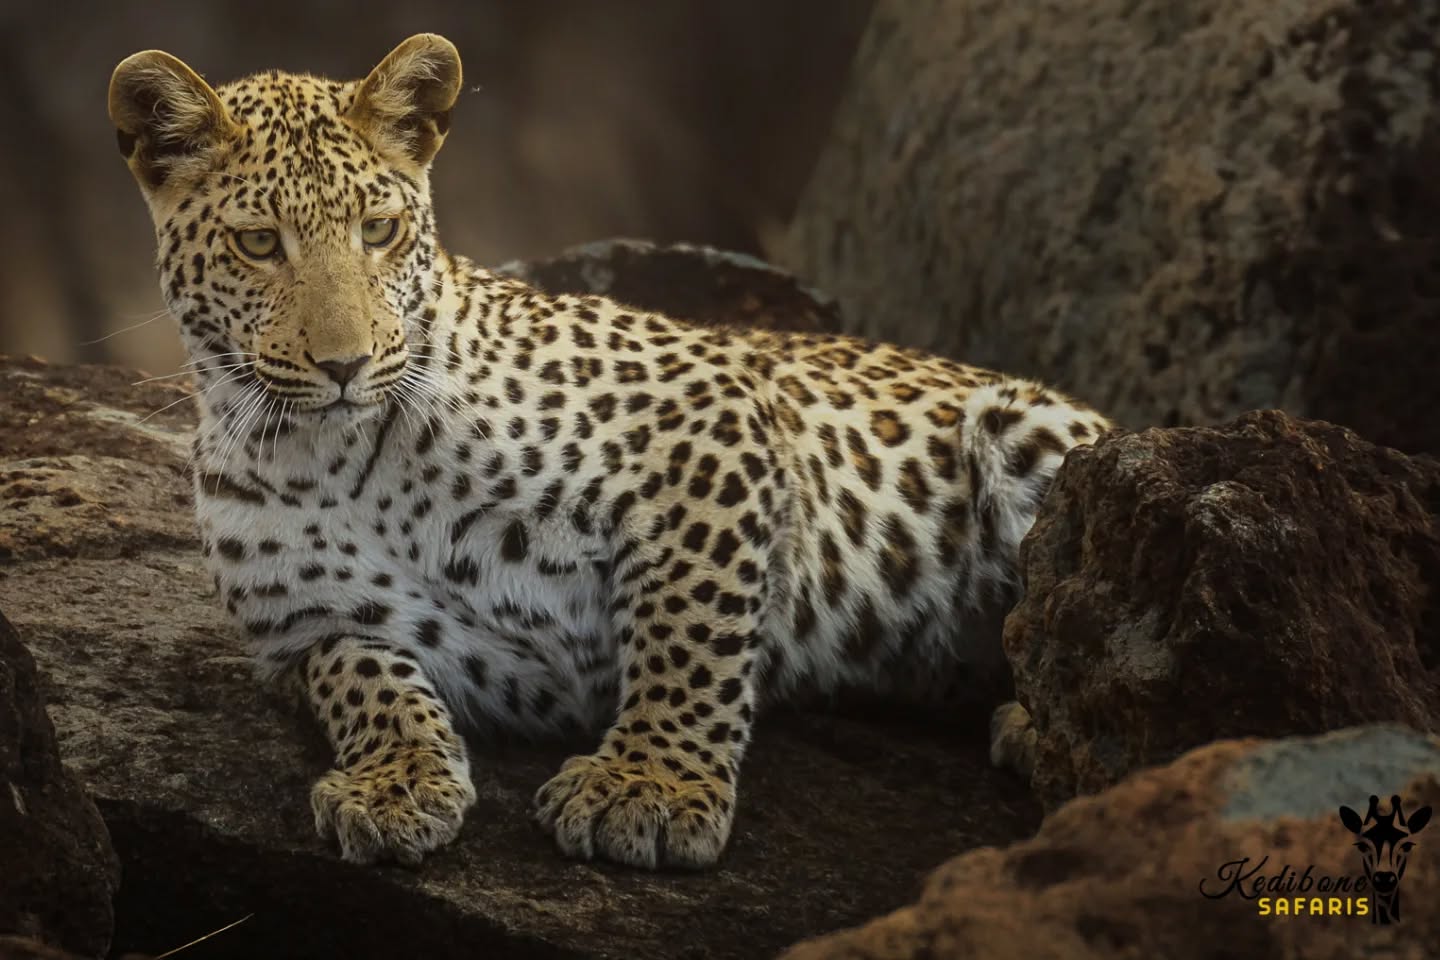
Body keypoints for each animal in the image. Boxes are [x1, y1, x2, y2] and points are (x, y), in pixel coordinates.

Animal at [107, 34, 1112, 870]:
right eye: (257, 244)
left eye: (379, 231)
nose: (347, 364)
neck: (336, 453)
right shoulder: (312, 629)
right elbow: (368, 681)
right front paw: (397, 783)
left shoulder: (711, 417)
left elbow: (690, 631)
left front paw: (649, 786)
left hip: (1030, 437)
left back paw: (1035, 726)